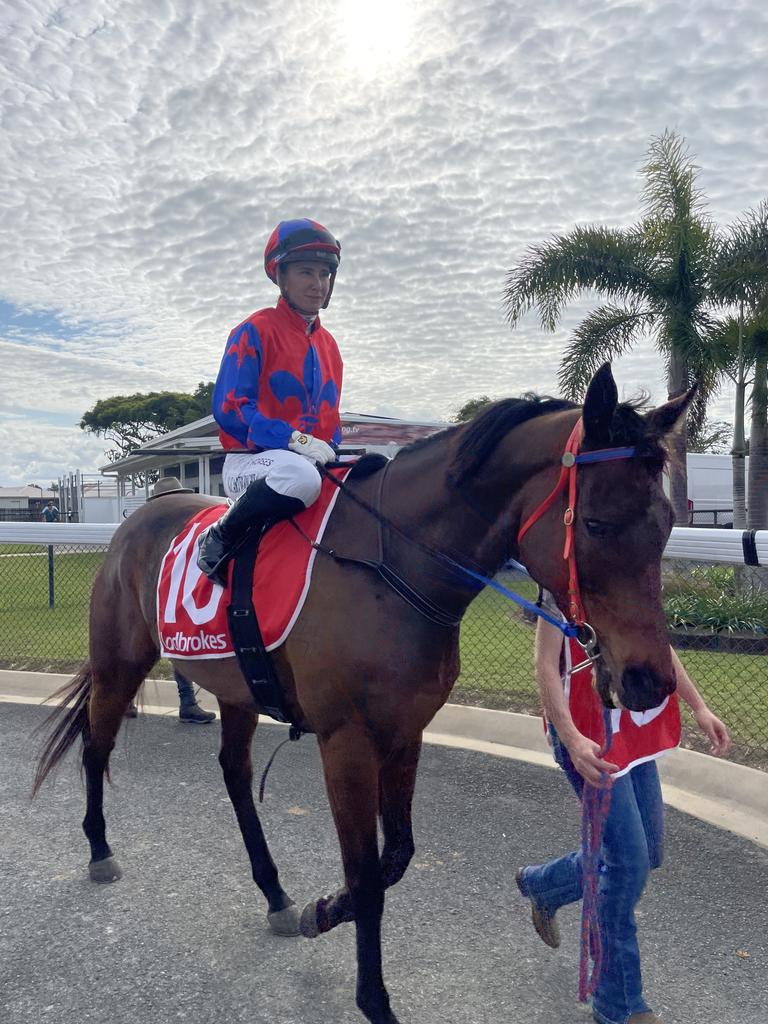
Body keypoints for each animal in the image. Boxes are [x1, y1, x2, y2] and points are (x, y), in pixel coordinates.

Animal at [34, 364, 692, 1019]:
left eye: (666, 524)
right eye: (596, 523)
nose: (649, 680)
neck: (390, 566)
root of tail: (142, 515)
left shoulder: (405, 733)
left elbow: (393, 857)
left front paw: (321, 911)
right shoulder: (345, 741)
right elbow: (367, 875)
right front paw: (374, 999)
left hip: (238, 688)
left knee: (234, 775)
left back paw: (275, 893)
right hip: (119, 662)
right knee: (96, 744)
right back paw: (99, 849)